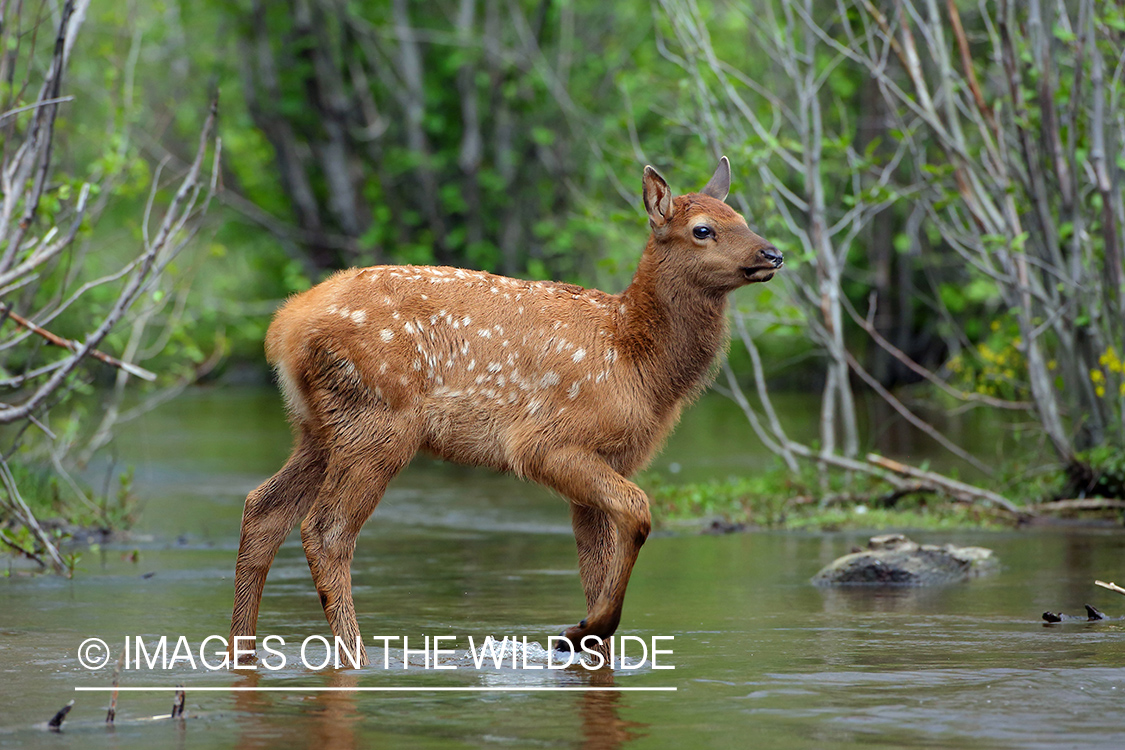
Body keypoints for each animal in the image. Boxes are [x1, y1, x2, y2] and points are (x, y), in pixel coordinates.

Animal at [228, 157, 783, 661]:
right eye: (703, 229)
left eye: (742, 216)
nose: (773, 253)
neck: (639, 363)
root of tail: (283, 326)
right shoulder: (546, 443)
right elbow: (639, 511)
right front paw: (580, 630)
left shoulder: (610, 459)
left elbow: (596, 563)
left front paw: (588, 638)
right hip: (377, 421)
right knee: (326, 531)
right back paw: (354, 656)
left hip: (318, 428)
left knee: (262, 509)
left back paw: (243, 652)